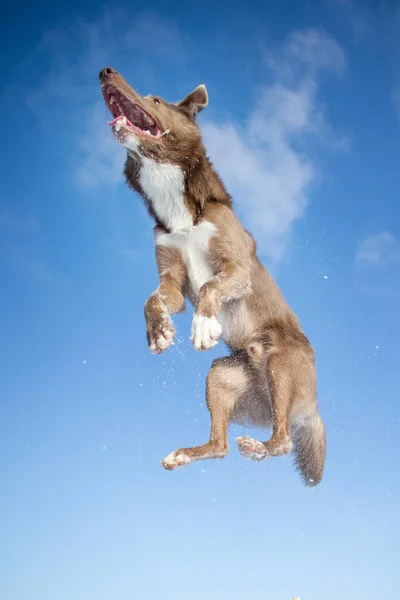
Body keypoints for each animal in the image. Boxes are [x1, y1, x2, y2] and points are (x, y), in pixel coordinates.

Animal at [99, 67, 324, 488]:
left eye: (155, 99)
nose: (106, 72)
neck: (177, 206)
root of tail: (313, 404)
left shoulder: (236, 267)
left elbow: (210, 284)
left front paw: (204, 326)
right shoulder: (171, 279)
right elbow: (153, 299)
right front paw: (160, 332)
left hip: (281, 363)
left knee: (284, 439)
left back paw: (258, 447)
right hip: (222, 376)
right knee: (220, 446)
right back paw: (185, 454)